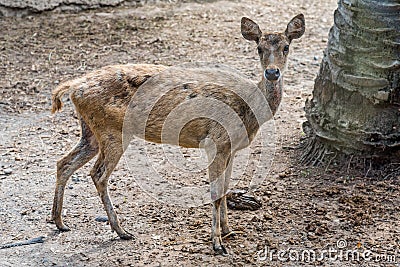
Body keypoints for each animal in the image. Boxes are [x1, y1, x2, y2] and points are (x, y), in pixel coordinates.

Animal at [50, 14, 306, 255]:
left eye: (286, 47)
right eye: (259, 48)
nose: (272, 72)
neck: (249, 110)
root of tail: (73, 87)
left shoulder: (231, 148)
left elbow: (225, 189)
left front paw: (228, 230)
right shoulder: (216, 141)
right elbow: (215, 193)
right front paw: (217, 243)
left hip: (91, 131)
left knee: (64, 162)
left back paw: (60, 222)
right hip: (111, 130)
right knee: (98, 174)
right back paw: (121, 230)